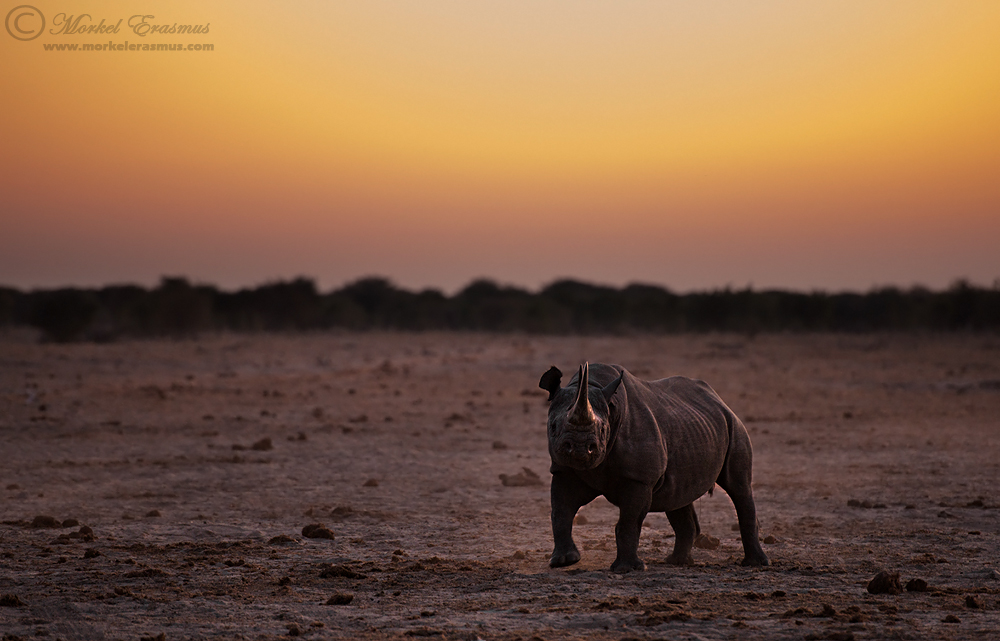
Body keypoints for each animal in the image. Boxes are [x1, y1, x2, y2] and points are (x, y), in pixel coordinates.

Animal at [539, 362, 769, 572]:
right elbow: (561, 512)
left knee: (738, 488)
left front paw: (627, 569)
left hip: (734, 425)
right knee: (678, 497)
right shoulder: (564, 469)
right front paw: (564, 561)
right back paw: (677, 562)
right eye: (553, 426)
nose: (580, 448)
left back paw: (755, 564)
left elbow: (629, 521)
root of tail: (719, 399)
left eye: (603, 429)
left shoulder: (639, 479)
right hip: (695, 425)